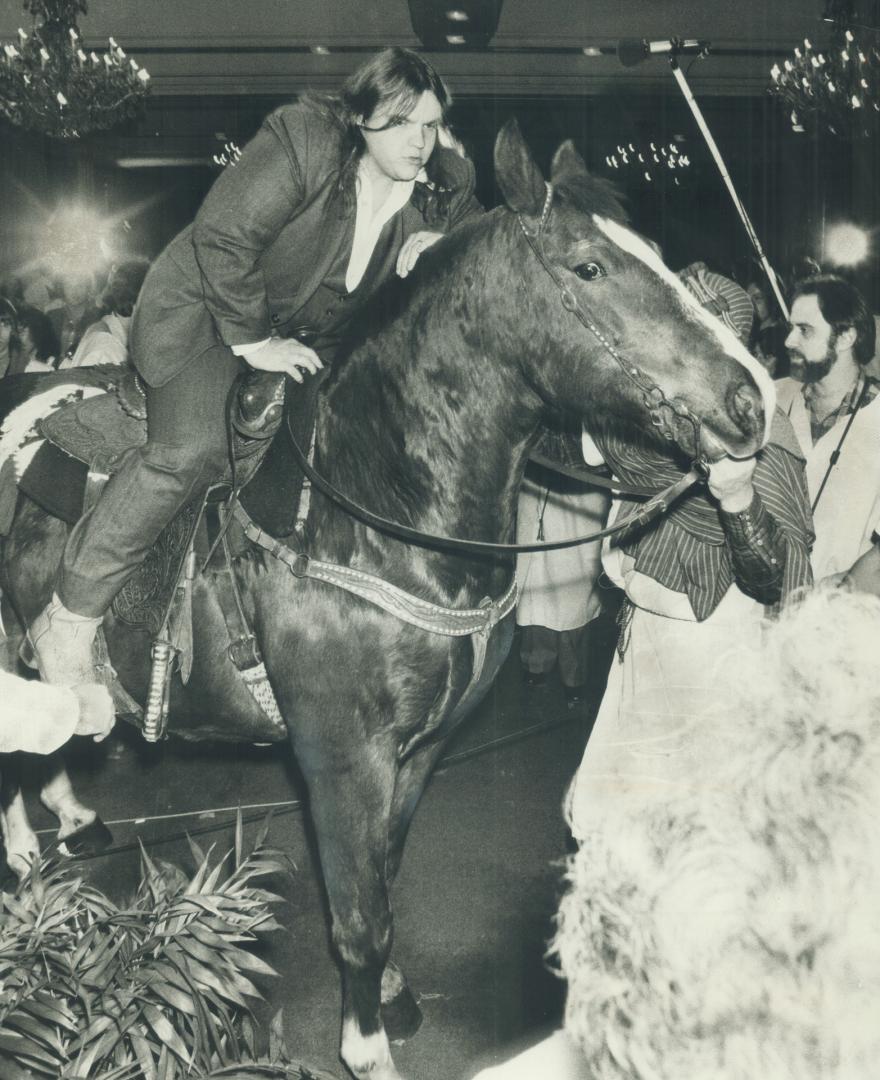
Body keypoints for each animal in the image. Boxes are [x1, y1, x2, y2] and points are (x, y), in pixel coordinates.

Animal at [0, 118, 768, 1080]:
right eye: (590, 267)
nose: (751, 401)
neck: (377, 510)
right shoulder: (343, 758)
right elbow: (357, 914)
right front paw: (364, 1044)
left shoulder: (421, 749)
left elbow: (386, 877)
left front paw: (393, 996)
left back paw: (70, 814)